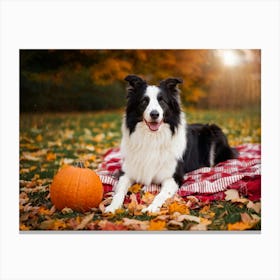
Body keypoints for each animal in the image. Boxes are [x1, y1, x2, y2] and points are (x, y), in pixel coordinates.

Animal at [105, 74, 236, 212]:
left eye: (162, 101)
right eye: (144, 101)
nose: (154, 114)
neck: (152, 138)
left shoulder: (173, 177)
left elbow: (161, 194)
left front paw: (151, 208)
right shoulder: (126, 173)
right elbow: (119, 192)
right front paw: (112, 207)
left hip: (214, 131)